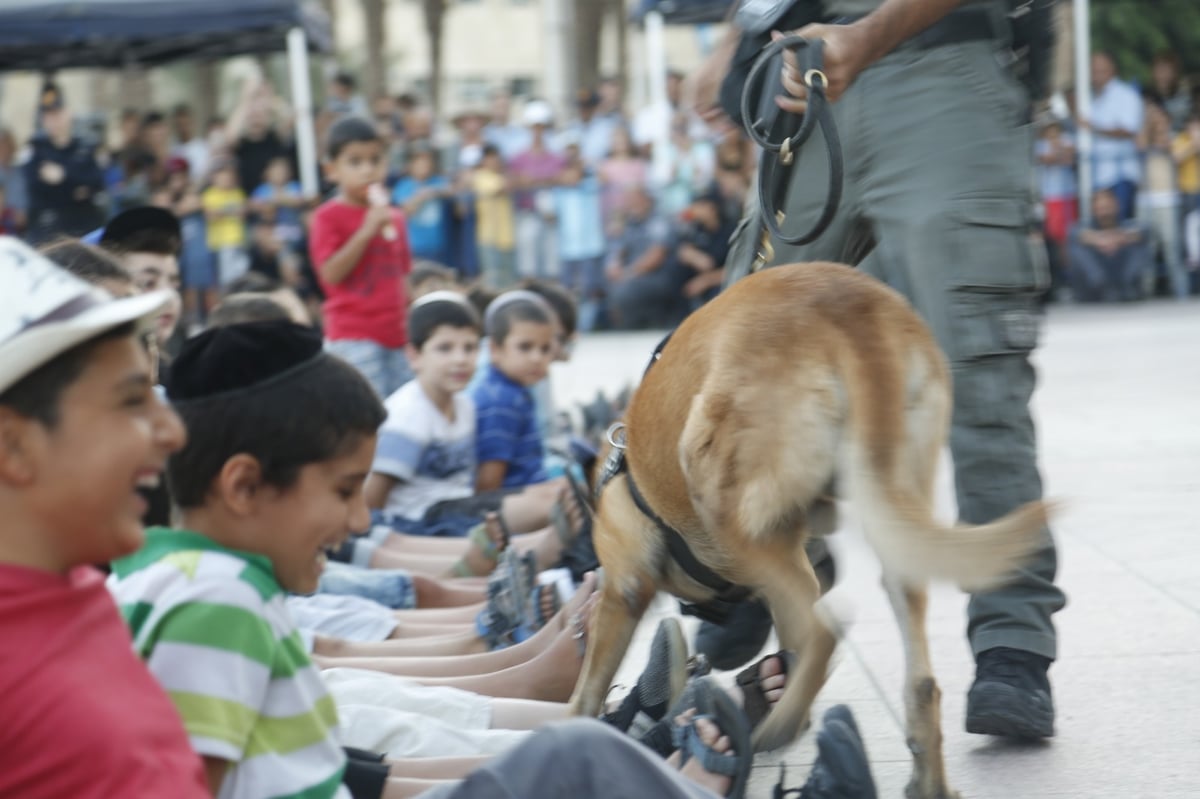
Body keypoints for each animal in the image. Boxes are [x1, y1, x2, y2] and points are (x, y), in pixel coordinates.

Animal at [571, 261, 1051, 796]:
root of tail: (845, 306)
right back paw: (923, 779)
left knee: (825, 626)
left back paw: (776, 724)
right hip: (892, 510)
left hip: (718, 487)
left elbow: (588, 685)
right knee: (914, 675)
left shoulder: (624, 589)